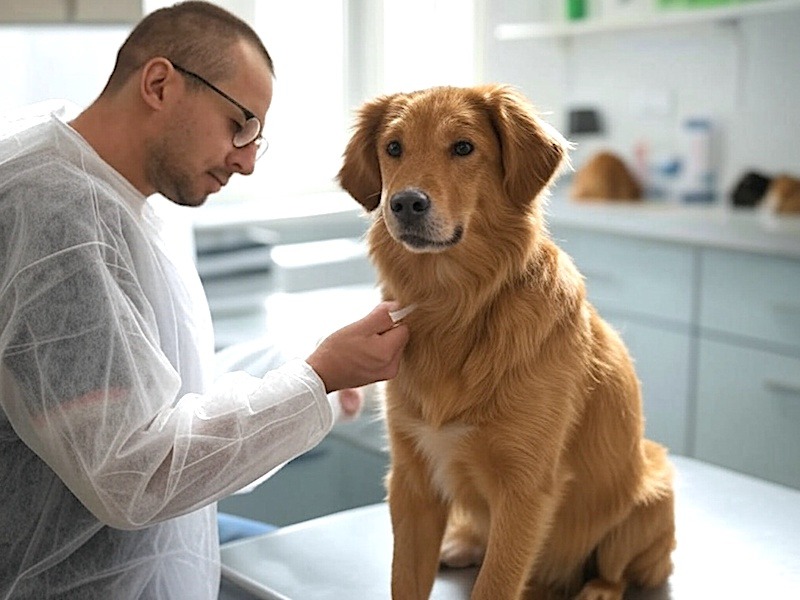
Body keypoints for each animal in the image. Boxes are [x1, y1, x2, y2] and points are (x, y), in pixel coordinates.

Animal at [338, 85, 676, 600]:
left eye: (463, 147)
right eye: (393, 148)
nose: (406, 203)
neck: (455, 306)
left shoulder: (525, 491)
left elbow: (495, 584)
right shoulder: (412, 481)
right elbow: (405, 580)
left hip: (651, 498)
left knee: (616, 567)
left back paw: (598, 588)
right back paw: (459, 544)